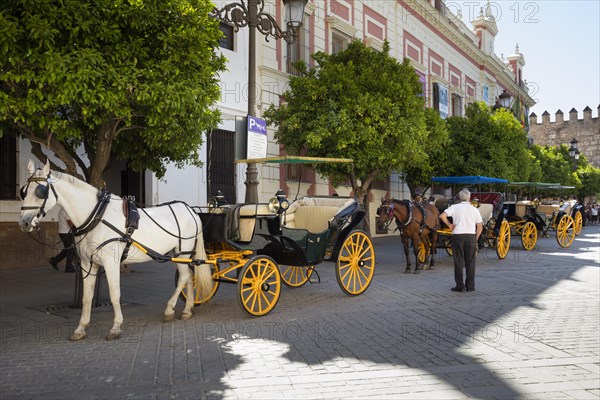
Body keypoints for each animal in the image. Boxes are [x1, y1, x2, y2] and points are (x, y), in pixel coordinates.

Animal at [18, 160, 213, 340]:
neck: (96, 216)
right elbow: (87, 297)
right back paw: (187, 309)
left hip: (183, 251)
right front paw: (81, 328)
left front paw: (116, 327)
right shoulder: (87, 263)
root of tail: (191, 210)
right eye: (23, 191)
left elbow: (114, 294)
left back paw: (169, 309)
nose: (24, 222)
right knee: (188, 276)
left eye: (41, 191)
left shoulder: (111, 263)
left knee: (184, 276)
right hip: (180, 254)